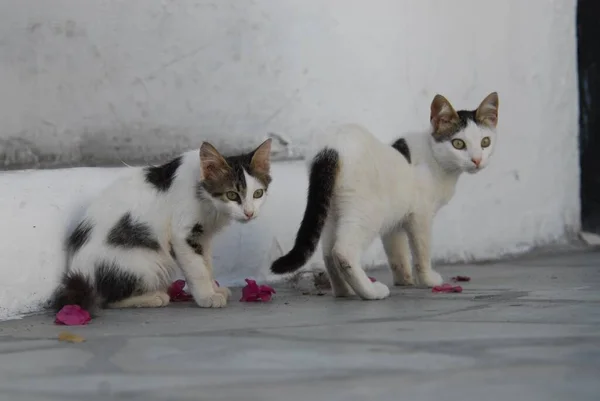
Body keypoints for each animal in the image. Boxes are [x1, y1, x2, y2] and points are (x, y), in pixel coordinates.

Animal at [52, 139, 274, 310]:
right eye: (232, 195)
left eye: (257, 194)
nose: (249, 213)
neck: (204, 196)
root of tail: (81, 275)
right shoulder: (182, 234)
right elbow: (197, 268)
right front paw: (207, 297)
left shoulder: (202, 236)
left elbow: (206, 263)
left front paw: (214, 288)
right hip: (146, 260)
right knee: (106, 299)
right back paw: (153, 297)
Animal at [270, 93, 496, 300]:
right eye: (458, 144)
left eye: (485, 142)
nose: (477, 160)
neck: (437, 161)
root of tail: (330, 148)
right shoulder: (420, 216)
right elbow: (421, 251)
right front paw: (427, 280)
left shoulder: (395, 220)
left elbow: (397, 253)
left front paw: (404, 280)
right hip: (367, 212)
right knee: (342, 252)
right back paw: (370, 292)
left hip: (333, 213)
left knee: (327, 253)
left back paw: (344, 291)